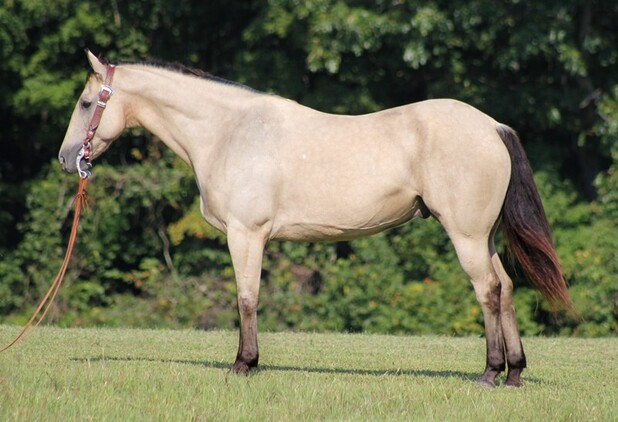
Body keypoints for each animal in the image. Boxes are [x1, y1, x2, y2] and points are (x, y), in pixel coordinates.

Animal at [60, 49, 572, 386]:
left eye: (86, 103)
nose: (67, 159)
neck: (230, 131)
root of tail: (491, 126)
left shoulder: (246, 235)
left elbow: (246, 298)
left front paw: (243, 364)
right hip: (483, 237)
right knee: (505, 287)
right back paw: (514, 373)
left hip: (465, 235)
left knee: (487, 291)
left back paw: (489, 373)